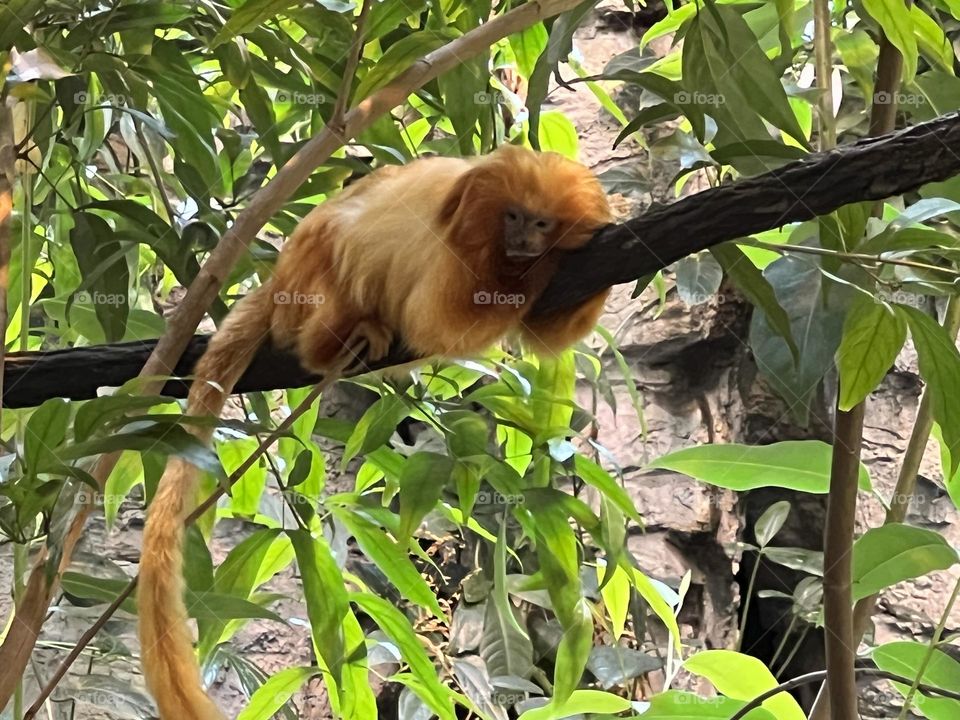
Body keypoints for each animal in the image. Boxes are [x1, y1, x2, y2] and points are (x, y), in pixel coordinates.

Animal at [138, 144, 612, 720]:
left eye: (539, 221)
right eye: (513, 217)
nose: (523, 240)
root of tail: (278, 278)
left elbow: (548, 336)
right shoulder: (454, 246)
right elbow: (440, 318)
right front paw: (543, 267)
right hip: (310, 280)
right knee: (344, 262)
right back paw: (337, 340)